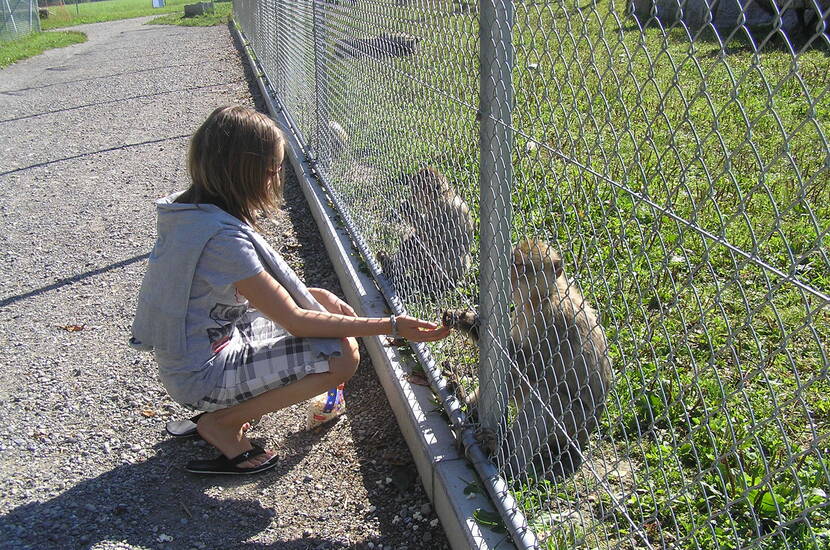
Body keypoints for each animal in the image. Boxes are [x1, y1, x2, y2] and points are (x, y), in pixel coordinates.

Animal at [378, 168, 474, 302]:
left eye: (415, 190)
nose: (412, 197)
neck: (442, 195)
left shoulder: (444, 209)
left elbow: (432, 238)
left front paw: (407, 207)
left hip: (447, 270)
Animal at [446, 239, 616, 480]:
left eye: (520, 265)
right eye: (512, 261)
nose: (509, 274)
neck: (541, 298)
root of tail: (587, 433)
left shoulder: (552, 321)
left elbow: (535, 369)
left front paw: (476, 326)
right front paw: (466, 320)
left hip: (574, 424)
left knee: (545, 397)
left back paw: (506, 461)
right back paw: (469, 408)